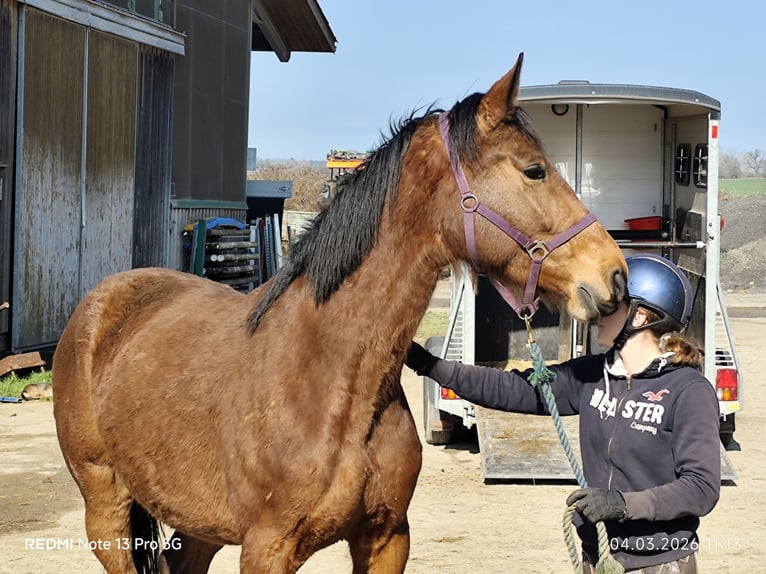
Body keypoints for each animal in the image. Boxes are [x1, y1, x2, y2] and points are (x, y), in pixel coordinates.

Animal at [52, 53, 627, 574]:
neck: (329, 378)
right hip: (106, 509)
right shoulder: (267, 550)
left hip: (198, 525)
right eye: (534, 170)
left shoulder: (387, 538)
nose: (615, 275)